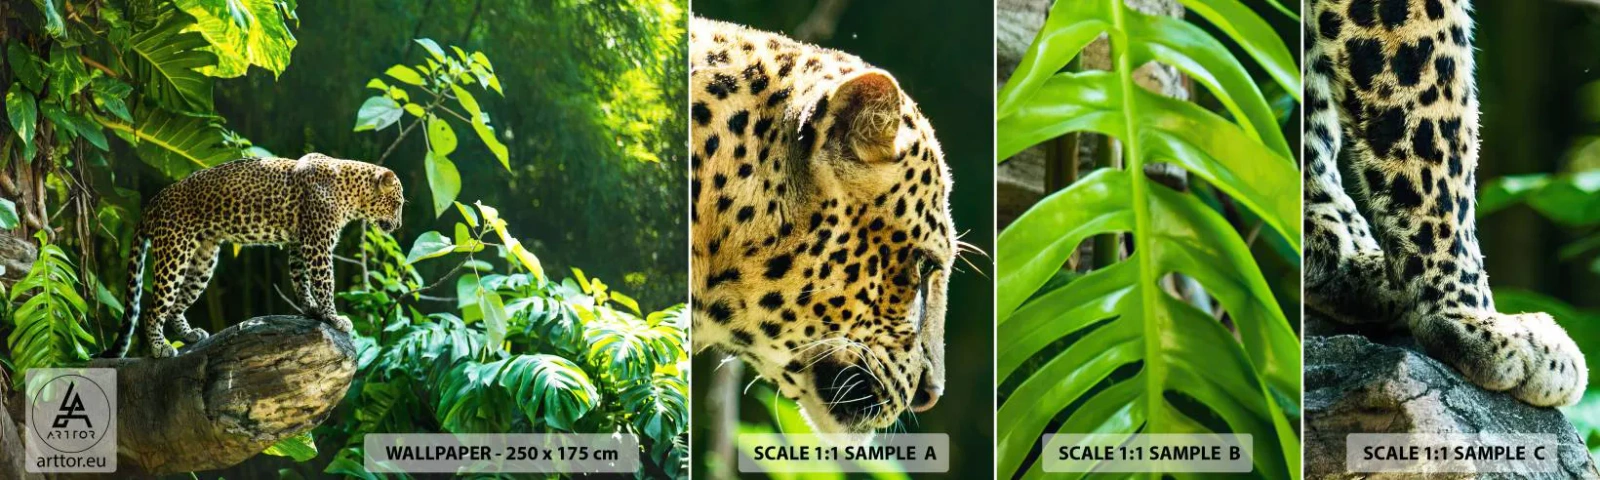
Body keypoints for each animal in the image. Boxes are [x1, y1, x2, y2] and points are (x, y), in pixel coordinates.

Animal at [101, 153, 405, 359]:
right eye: (398, 203)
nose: (399, 225)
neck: (351, 191)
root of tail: (152, 203)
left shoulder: (300, 243)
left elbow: (301, 280)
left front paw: (312, 310)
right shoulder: (317, 244)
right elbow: (324, 282)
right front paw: (334, 318)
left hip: (203, 260)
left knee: (176, 305)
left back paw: (189, 335)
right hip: (174, 252)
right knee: (153, 308)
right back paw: (159, 348)